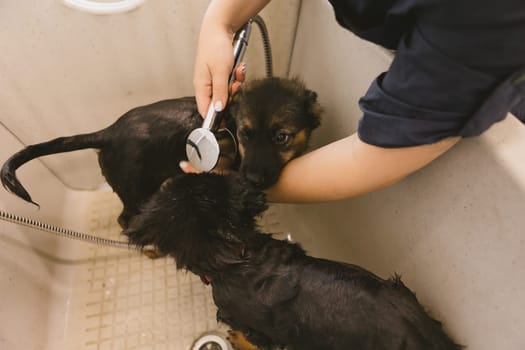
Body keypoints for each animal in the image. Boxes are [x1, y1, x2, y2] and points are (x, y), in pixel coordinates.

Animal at [0, 77, 320, 228]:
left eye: (281, 137)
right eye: (245, 134)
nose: (252, 179)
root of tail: (109, 133)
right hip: (136, 191)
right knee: (124, 220)